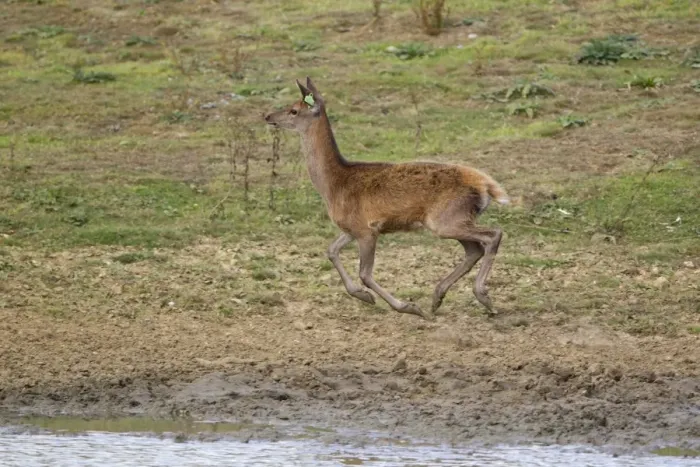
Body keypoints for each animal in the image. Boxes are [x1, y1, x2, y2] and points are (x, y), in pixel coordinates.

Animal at [264, 77, 509, 321]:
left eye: (294, 110)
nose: (268, 116)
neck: (334, 186)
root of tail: (486, 185)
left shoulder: (367, 230)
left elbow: (364, 273)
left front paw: (405, 306)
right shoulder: (350, 228)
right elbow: (331, 251)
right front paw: (362, 295)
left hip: (446, 220)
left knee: (493, 234)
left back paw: (483, 298)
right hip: (454, 220)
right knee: (474, 250)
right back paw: (438, 297)